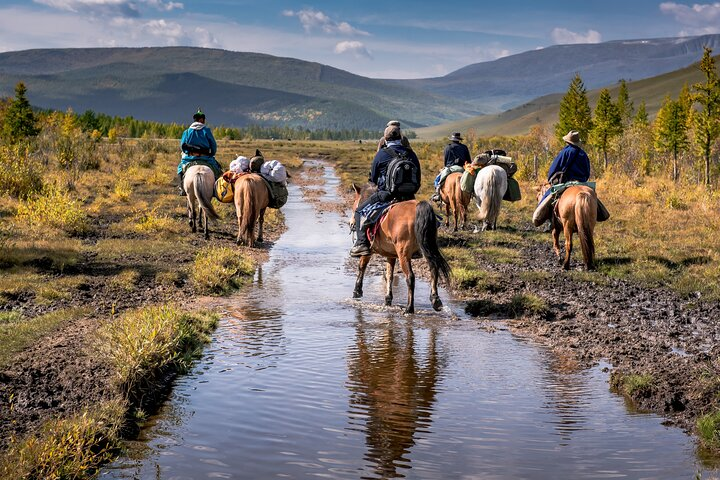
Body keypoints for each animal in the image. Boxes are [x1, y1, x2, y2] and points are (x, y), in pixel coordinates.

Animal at [350, 182, 450, 314]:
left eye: (354, 205)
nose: (351, 223)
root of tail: (418, 207)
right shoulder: (391, 255)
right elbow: (390, 275)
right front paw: (388, 299)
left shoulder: (369, 250)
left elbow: (362, 266)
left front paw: (357, 291)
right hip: (427, 248)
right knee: (434, 269)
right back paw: (435, 301)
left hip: (404, 254)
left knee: (410, 277)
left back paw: (409, 308)